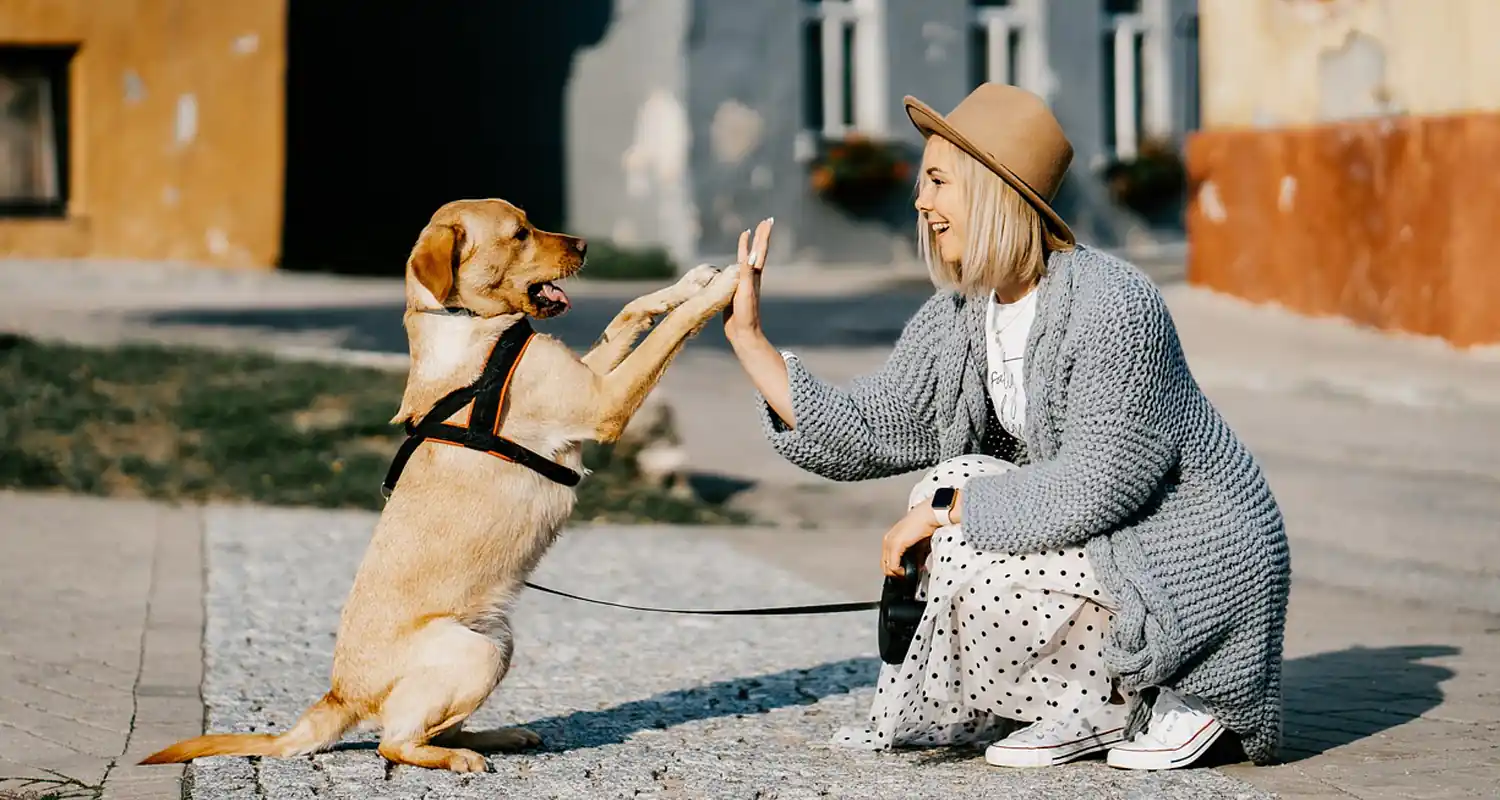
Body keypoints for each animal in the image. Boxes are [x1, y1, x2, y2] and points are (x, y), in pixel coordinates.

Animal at [143, 198, 774, 768]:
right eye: (519, 234)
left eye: (531, 222)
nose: (585, 245)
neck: (471, 328)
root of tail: (338, 696)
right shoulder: (603, 402)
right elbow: (669, 331)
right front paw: (730, 283)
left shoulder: (590, 377)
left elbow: (630, 311)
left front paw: (690, 280)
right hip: (474, 653)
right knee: (393, 741)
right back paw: (458, 758)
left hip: (499, 642)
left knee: (430, 727)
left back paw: (497, 736)